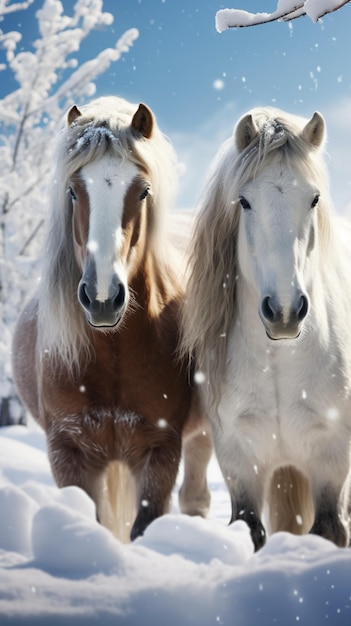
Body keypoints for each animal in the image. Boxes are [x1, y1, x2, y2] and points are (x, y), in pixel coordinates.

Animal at [12, 95, 212, 540]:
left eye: (143, 191)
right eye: (72, 191)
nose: (102, 297)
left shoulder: (160, 451)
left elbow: (143, 527)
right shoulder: (69, 454)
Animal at [183, 109, 351, 548]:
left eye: (313, 198)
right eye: (244, 201)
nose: (285, 311)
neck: (277, 361)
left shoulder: (331, 460)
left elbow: (330, 531)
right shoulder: (240, 462)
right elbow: (250, 529)